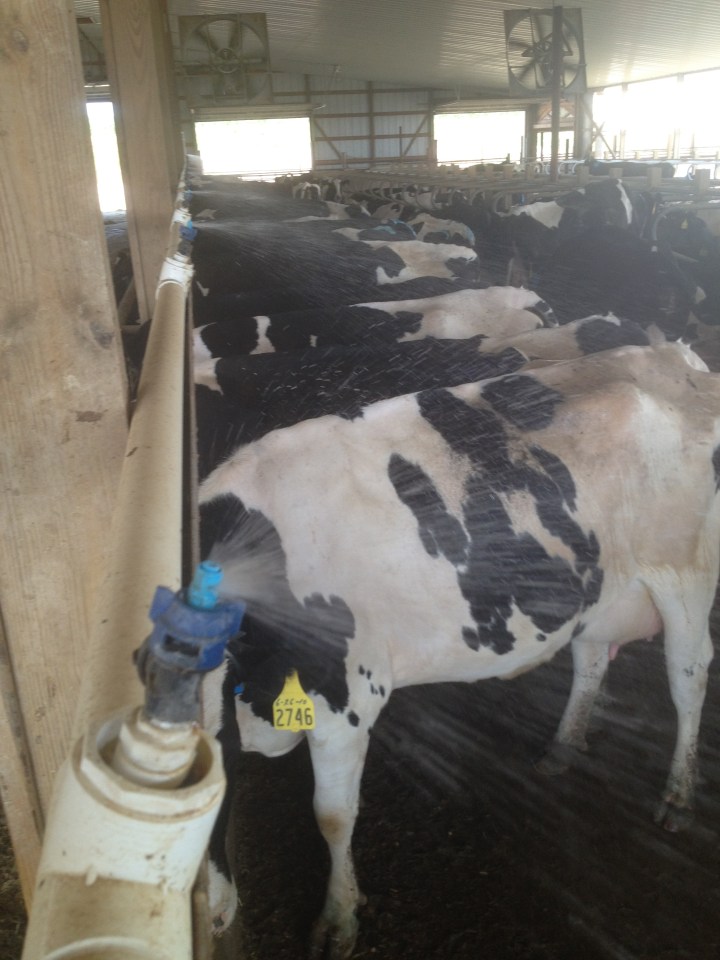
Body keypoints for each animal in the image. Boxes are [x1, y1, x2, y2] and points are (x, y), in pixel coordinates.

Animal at [200, 340, 720, 959]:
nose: (210, 914)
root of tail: (678, 358)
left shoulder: (347, 702)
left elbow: (332, 816)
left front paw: (338, 918)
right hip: (598, 587)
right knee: (592, 658)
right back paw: (564, 745)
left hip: (685, 578)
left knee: (688, 677)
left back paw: (679, 795)